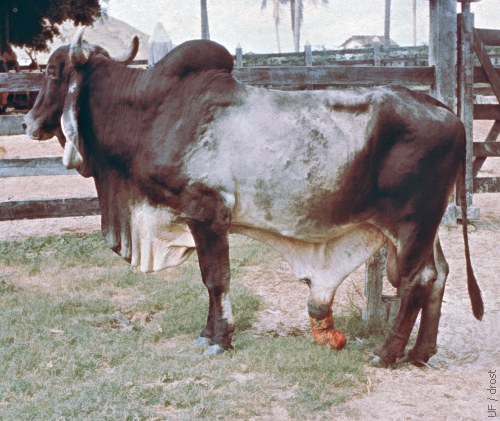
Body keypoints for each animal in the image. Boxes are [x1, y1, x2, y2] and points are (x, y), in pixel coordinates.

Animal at [24, 29, 484, 364]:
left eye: (51, 72)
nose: (27, 122)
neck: (155, 112)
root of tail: (444, 111)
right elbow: (211, 281)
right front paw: (208, 334)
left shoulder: (206, 213)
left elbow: (216, 279)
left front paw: (219, 339)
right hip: (424, 227)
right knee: (438, 275)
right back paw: (421, 352)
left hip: (411, 225)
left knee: (414, 281)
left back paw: (387, 353)